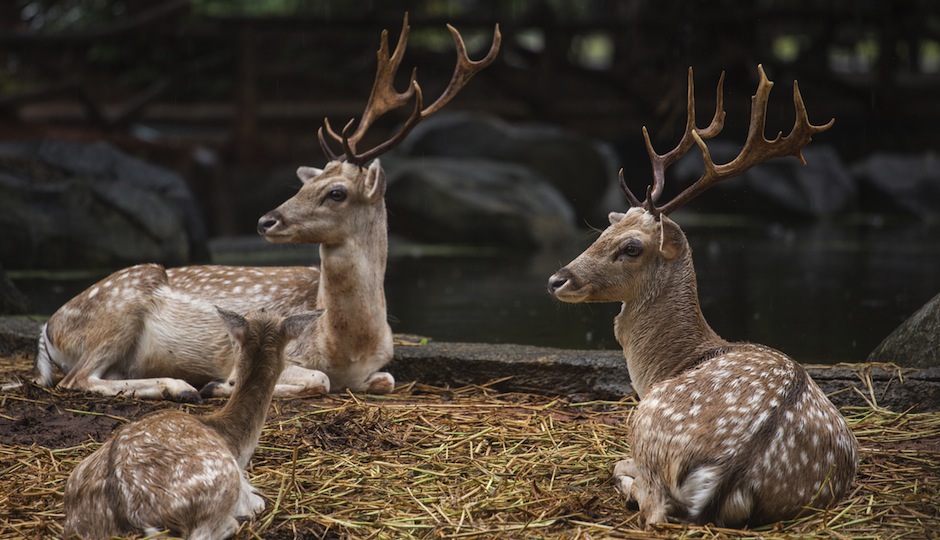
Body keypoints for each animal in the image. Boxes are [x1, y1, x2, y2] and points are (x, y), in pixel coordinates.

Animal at [34, 12, 504, 400]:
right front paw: (224, 383)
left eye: (336, 192)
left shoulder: (377, 369)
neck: (345, 345)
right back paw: (183, 386)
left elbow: (385, 380)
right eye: (307, 182)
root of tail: (47, 328)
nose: (266, 220)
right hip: (117, 310)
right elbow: (317, 380)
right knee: (77, 379)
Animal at [63, 308, 320, 540]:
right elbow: (258, 502)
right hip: (220, 484)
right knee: (204, 533)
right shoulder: (248, 492)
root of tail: (130, 517)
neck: (235, 443)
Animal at [544, 66, 860, 528]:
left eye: (632, 247)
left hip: (645, 420)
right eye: (604, 231)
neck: (673, 361)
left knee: (654, 507)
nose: (557, 280)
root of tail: (730, 471)